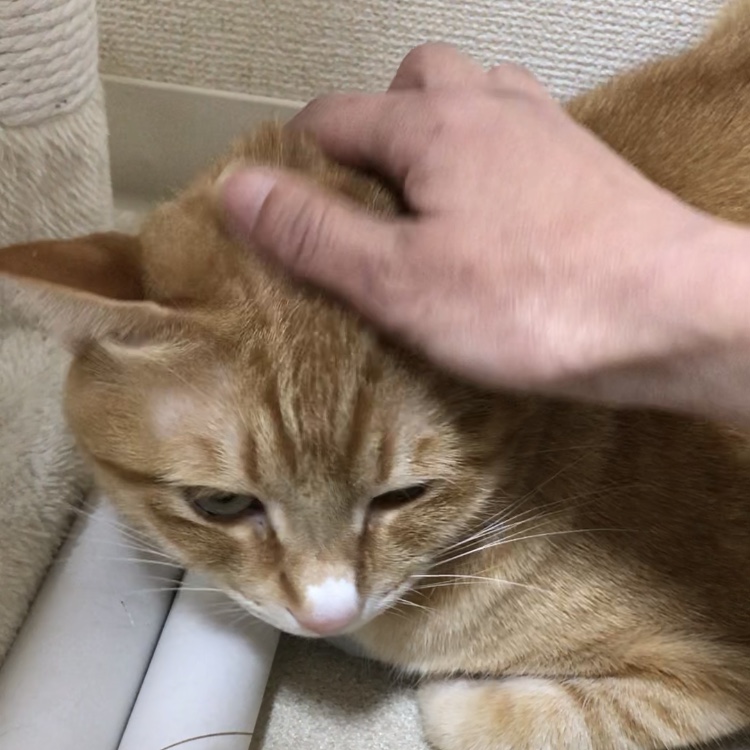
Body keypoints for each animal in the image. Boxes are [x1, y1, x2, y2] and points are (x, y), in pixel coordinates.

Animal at [2, 2, 750, 749]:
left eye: (405, 495)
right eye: (220, 503)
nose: (327, 614)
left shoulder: (711, 672)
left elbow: (528, 717)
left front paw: (445, 691)